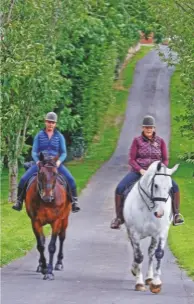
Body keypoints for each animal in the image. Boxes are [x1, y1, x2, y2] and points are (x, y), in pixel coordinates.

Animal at [25, 152, 71, 280]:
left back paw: (59, 263)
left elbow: (52, 246)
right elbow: (41, 245)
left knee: (62, 237)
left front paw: (49, 272)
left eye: (55, 173)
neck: (45, 202)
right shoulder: (35, 222)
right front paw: (44, 268)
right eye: (41, 173)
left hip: (65, 219)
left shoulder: (56, 221)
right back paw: (41, 265)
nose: (47, 196)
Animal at [123, 162, 179, 292]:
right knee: (136, 252)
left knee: (150, 252)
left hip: (153, 236)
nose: (160, 213)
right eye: (156, 185)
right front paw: (139, 283)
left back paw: (149, 278)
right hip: (130, 232)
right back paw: (135, 270)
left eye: (170, 188)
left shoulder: (162, 232)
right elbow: (138, 256)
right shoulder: (134, 233)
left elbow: (158, 253)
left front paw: (156, 283)